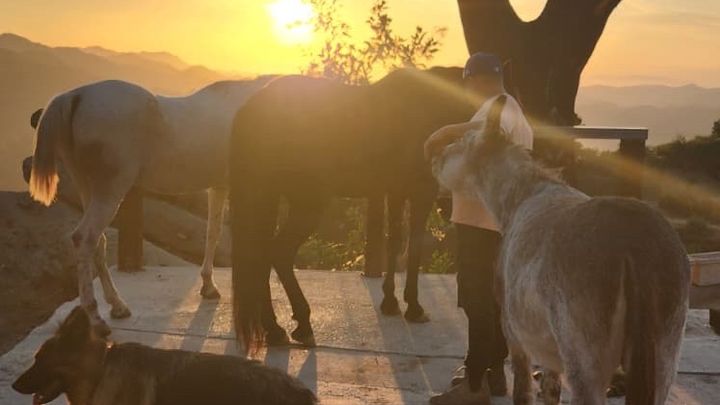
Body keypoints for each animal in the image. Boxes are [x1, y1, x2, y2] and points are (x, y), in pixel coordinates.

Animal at [28, 77, 272, 336]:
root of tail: (76, 96)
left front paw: (208, 286)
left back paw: (117, 306)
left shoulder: (219, 186)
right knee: (84, 238)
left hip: (86, 186)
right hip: (110, 189)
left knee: (97, 242)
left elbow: (212, 233)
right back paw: (96, 318)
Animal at [229, 67, 475, 349]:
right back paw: (301, 324)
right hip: (307, 203)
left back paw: (274, 329)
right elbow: (413, 247)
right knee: (279, 253)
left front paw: (390, 302)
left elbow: (394, 242)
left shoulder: (395, 192)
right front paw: (414, 307)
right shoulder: (420, 192)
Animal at [434, 96, 690, 404]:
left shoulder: (515, 334)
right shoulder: (550, 354)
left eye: (459, 144)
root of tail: (633, 244)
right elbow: (550, 391)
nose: (434, 158)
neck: (520, 195)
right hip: (664, 354)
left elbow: (522, 391)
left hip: (586, 361)